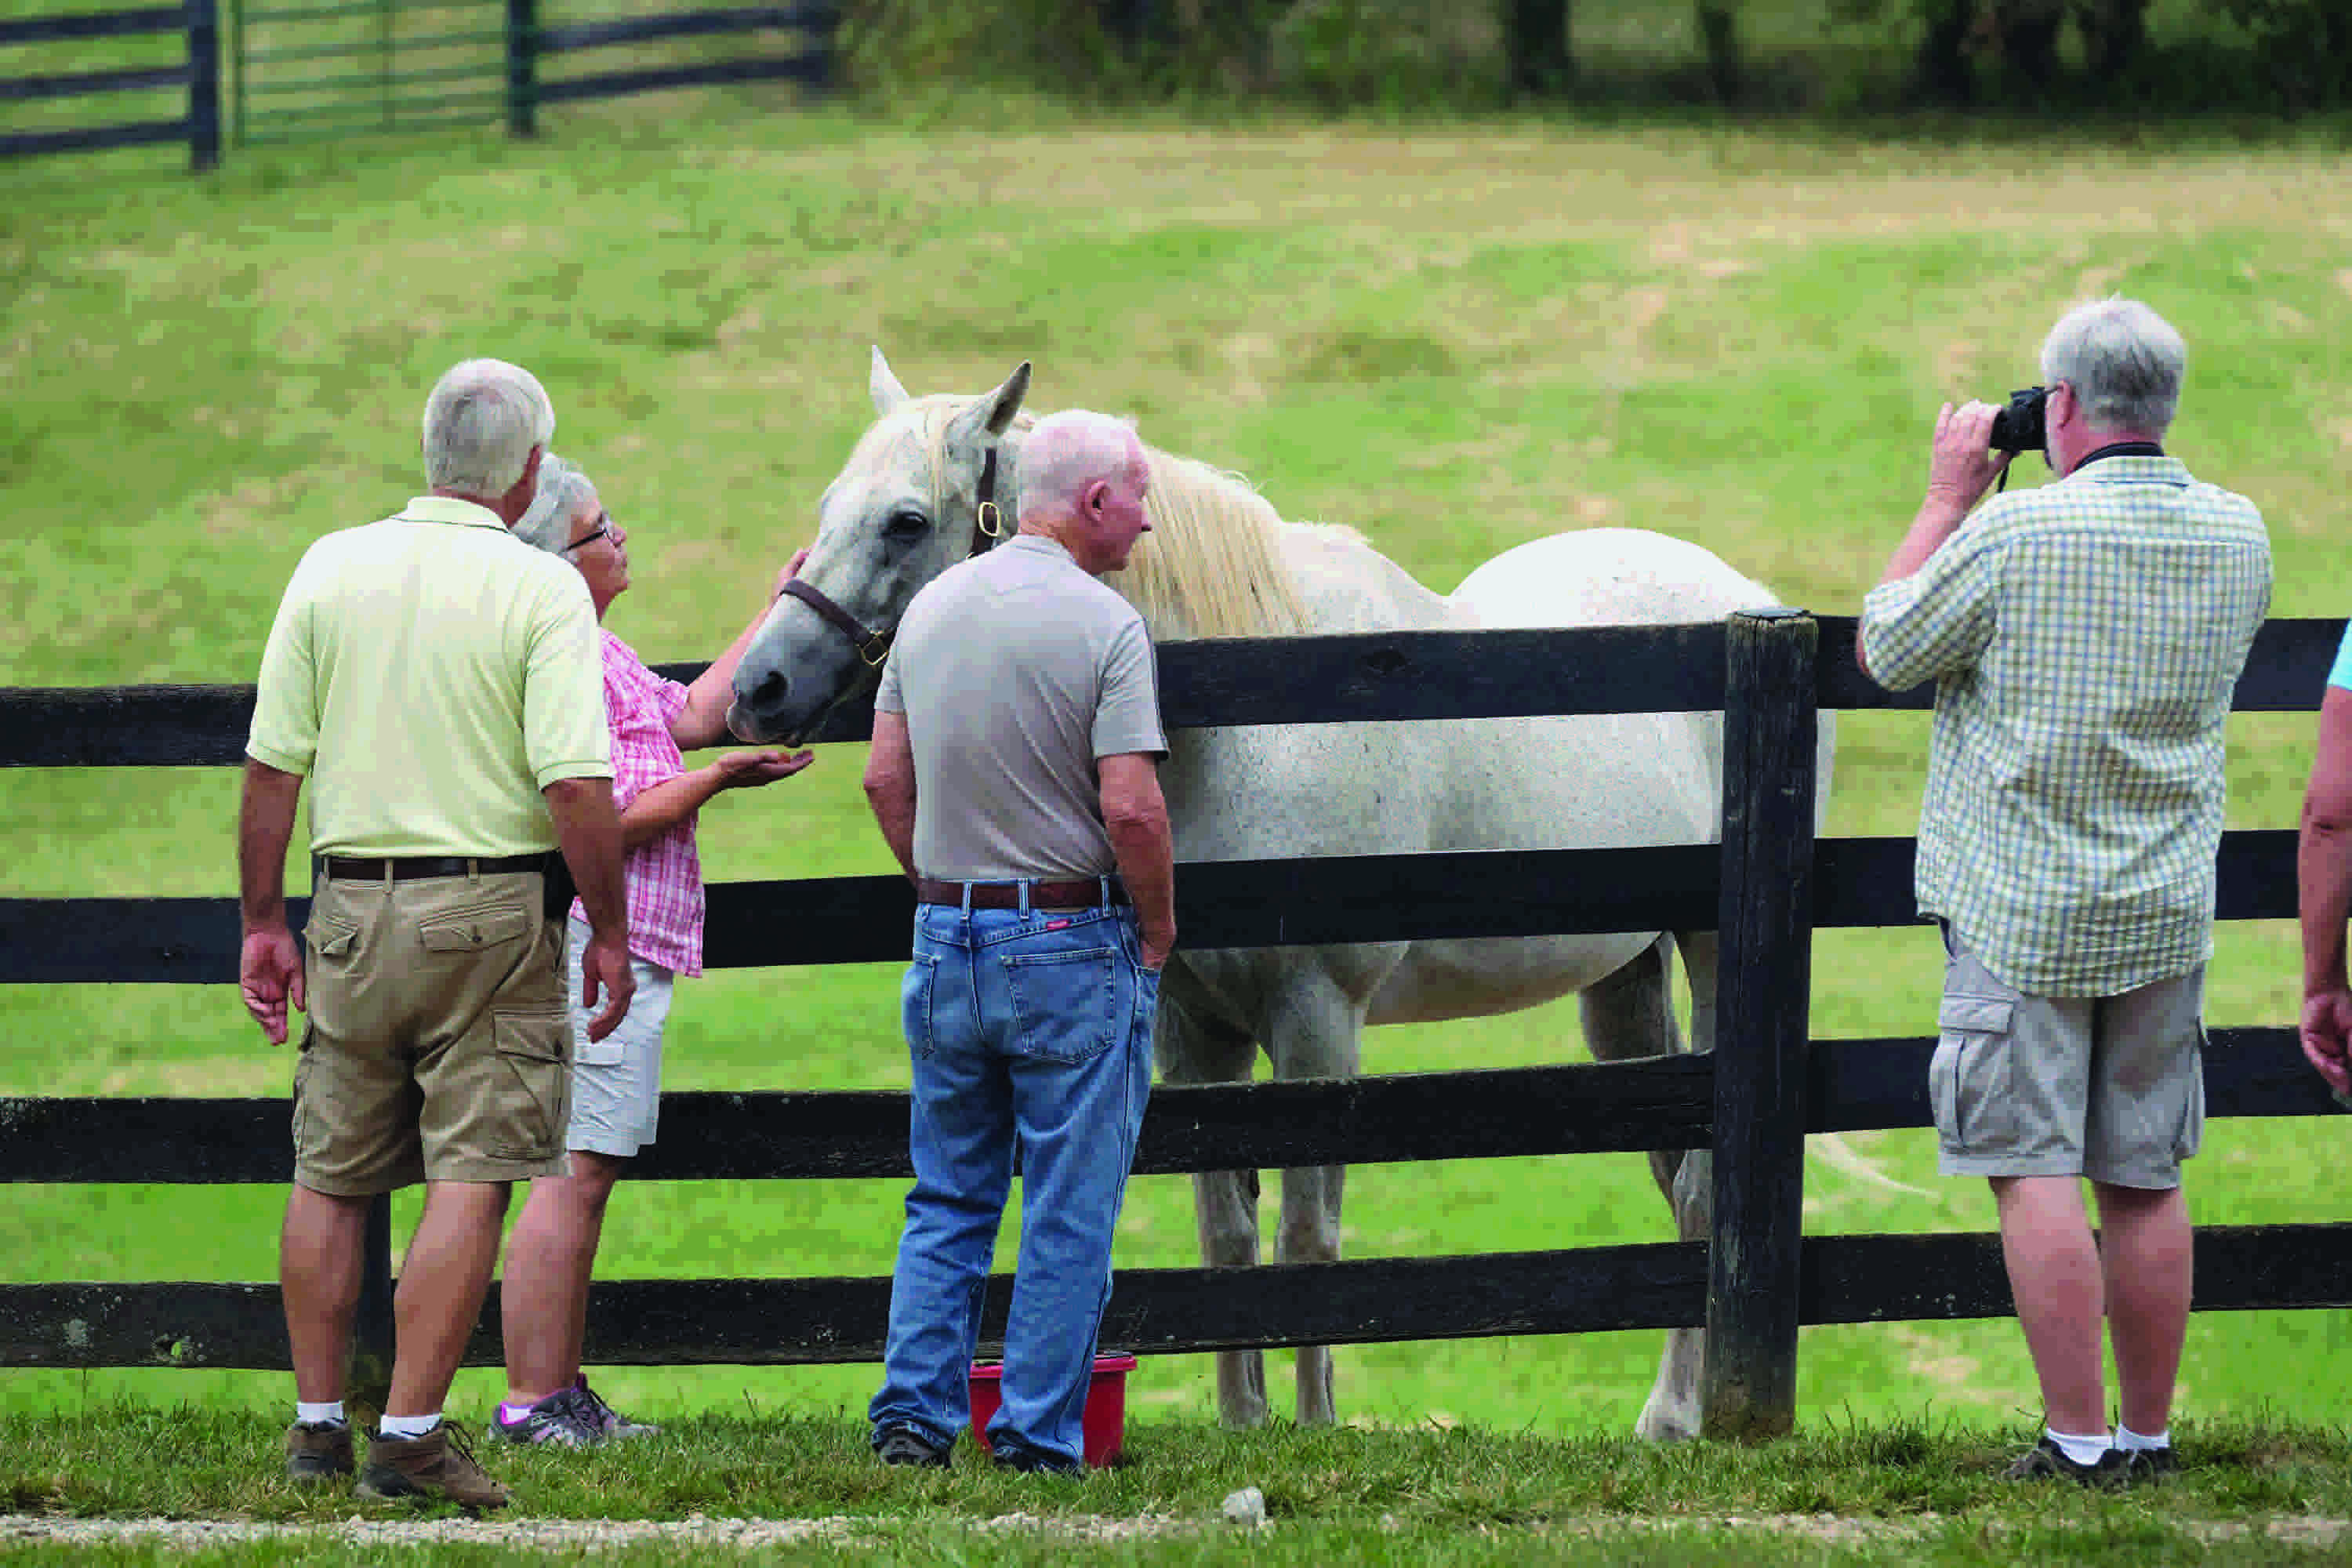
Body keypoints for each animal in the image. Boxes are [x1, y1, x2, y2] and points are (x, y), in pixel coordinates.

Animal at [724, 354, 1825, 1448]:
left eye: (907, 521)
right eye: (829, 508)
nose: (758, 685)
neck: (1252, 713)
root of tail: (1749, 600)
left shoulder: (1316, 1022)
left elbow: (1306, 1234)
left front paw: (1315, 1425)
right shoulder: (1195, 1030)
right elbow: (1227, 1230)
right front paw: (1244, 1420)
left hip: (1707, 955)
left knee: (1699, 1186)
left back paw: (1680, 1414)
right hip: (1625, 985)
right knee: (1676, 1175)